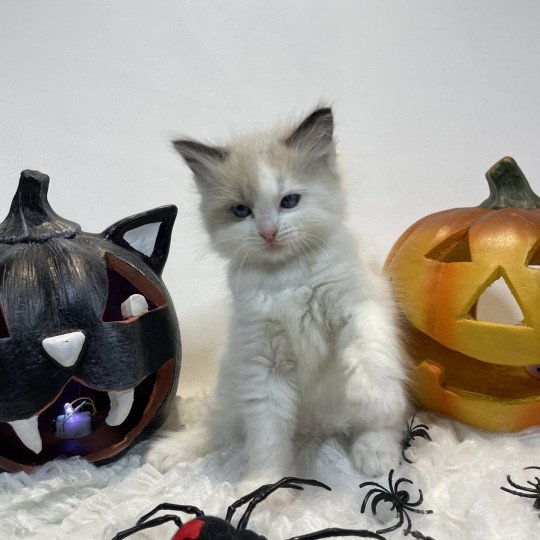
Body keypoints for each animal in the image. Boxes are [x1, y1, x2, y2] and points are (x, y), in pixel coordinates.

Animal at [172, 106, 404, 486]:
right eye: (241, 210)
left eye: (289, 201)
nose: (268, 232)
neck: (288, 277)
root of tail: (316, 430)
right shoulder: (264, 363)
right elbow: (267, 439)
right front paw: (266, 487)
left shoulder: (360, 303)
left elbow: (367, 349)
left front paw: (370, 394)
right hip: (231, 379)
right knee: (219, 428)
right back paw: (170, 451)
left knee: (384, 422)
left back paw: (375, 451)